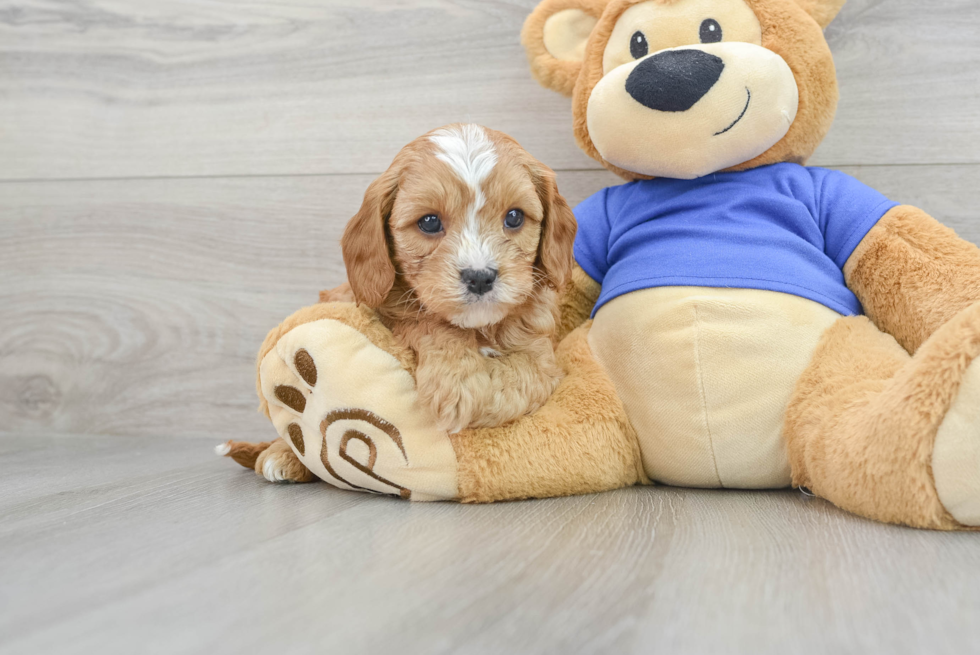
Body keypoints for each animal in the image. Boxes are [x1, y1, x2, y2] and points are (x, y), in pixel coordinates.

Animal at [334, 123, 580, 434]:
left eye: (514, 217)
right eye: (429, 222)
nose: (480, 278)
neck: (480, 328)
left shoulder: (543, 358)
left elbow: (518, 378)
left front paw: (470, 392)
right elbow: (428, 322)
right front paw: (456, 379)